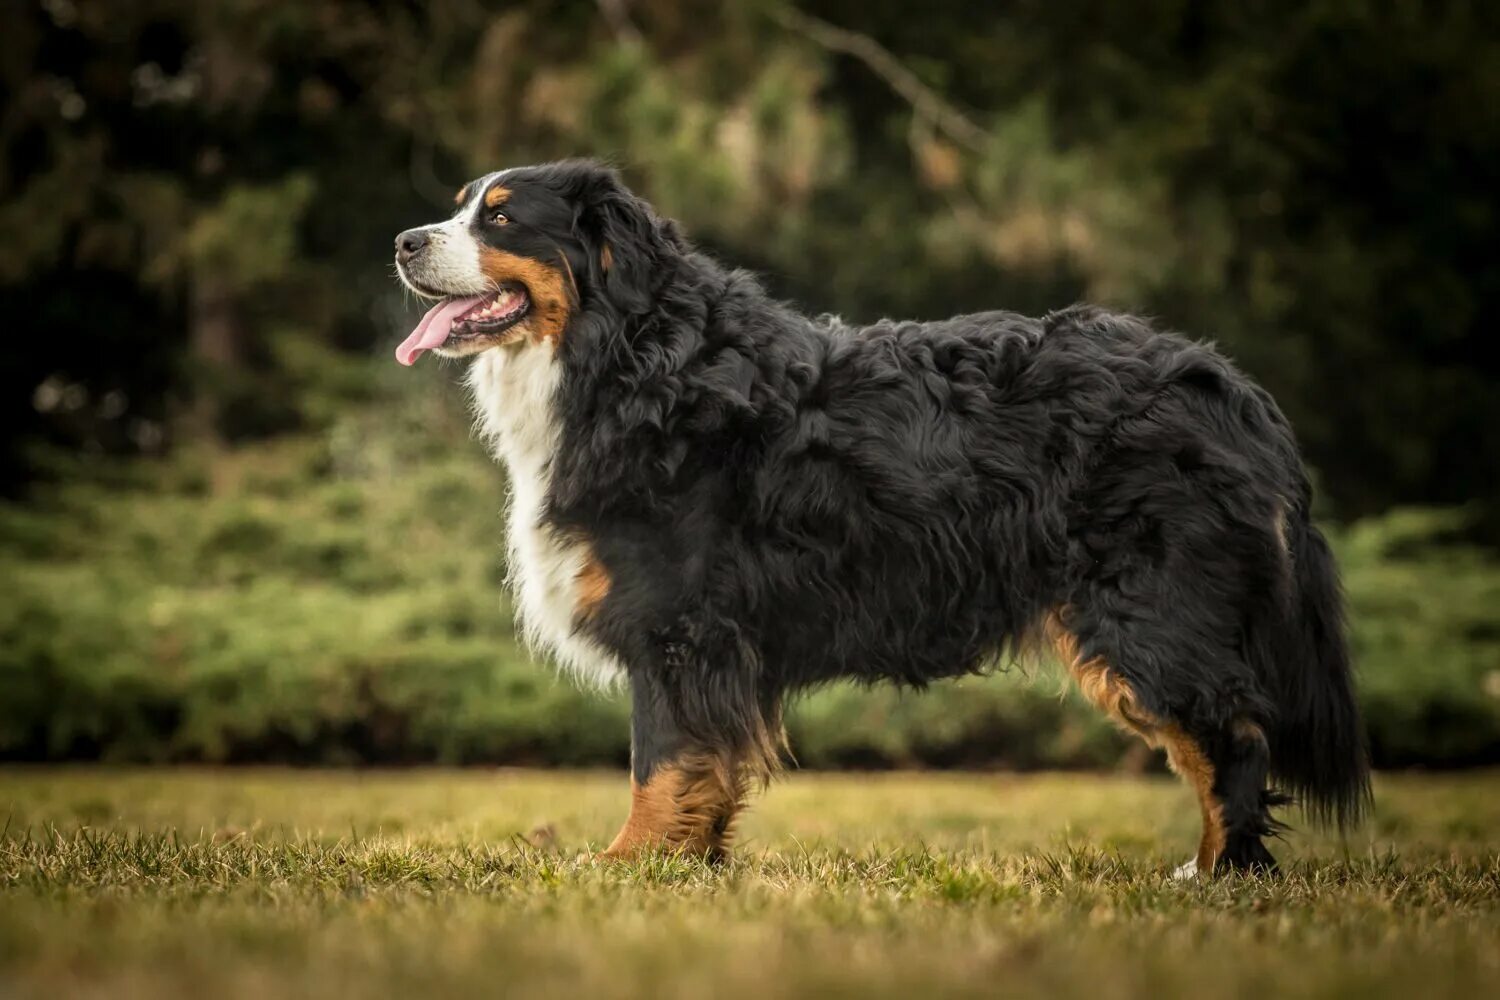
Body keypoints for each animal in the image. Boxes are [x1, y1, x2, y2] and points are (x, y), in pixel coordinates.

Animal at [390, 156, 1374, 875]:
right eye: (461, 206)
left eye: (502, 218)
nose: (402, 240)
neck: (636, 359)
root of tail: (1227, 384)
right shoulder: (709, 643)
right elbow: (706, 769)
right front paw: (693, 866)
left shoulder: (679, 625)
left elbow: (663, 760)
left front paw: (630, 865)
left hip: (1147, 612)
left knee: (1230, 737)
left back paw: (1218, 877)